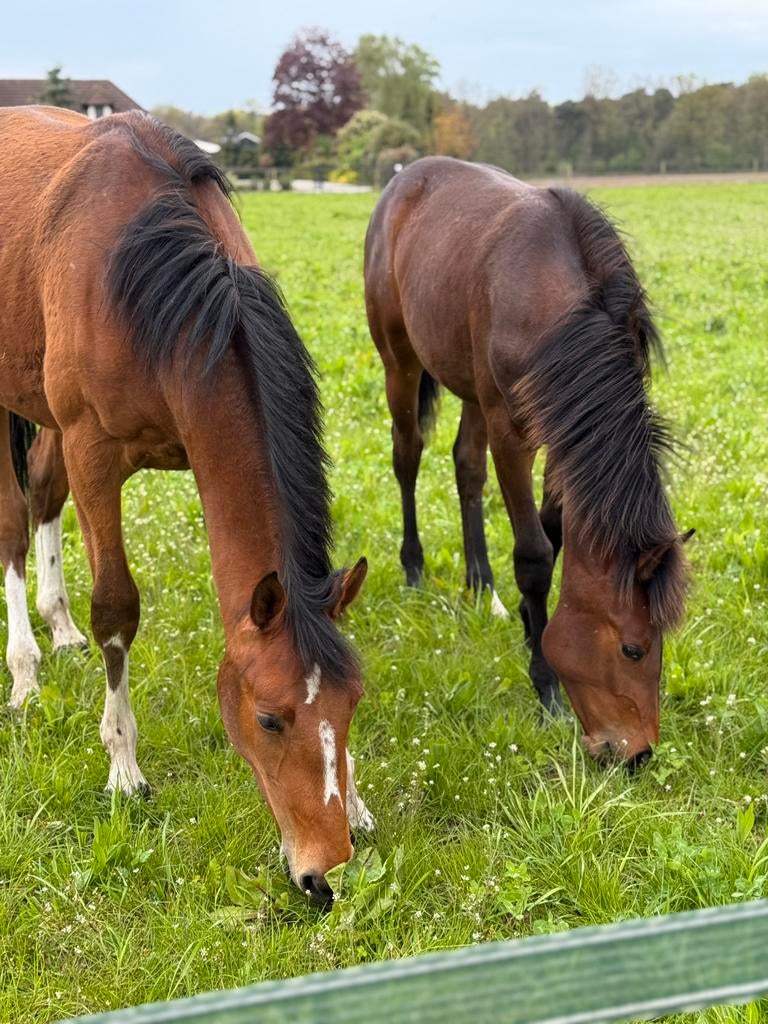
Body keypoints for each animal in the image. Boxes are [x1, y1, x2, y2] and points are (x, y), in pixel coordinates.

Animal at [0, 105, 371, 903]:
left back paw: (58, 627)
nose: (324, 875)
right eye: (268, 719)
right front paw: (123, 766)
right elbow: (117, 608)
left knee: (41, 496)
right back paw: (25, 670)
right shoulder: (93, 452)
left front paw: (356, 798)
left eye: (352, 704)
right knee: (13, 523)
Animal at [365, 156, 693, 766]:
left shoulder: (568, 431)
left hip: (467, 382)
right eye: (633, 649)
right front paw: (545, 686)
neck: (560, 306)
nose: (636, 754)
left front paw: (524, 623)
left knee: (466, 467)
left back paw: (480, 585)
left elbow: (554, 526)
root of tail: (405, 176)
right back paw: (415, 569)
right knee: (407, 456)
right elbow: (536, 555)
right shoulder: (513, 434)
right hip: (399, 360)